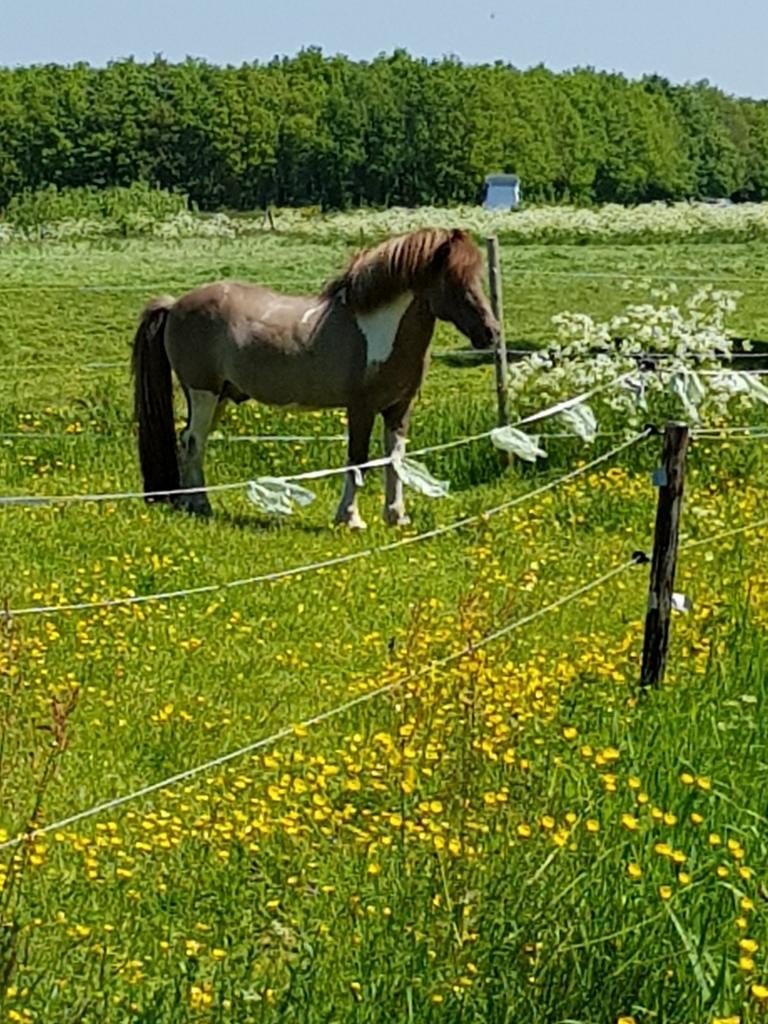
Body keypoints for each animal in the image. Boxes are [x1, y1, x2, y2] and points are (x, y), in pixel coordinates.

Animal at [131, 227, 500, 528]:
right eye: (454, 281)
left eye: (477, 277)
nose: (491, 333)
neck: (377, 328)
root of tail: (175, 304)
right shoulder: (361, 408)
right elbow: (357, 460)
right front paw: (350, 518)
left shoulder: (399, 408)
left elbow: (394, 460)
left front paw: (396, 517)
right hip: (203, 392)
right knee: (194, 441)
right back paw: (201, 505)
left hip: (219, 395)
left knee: (191, 441)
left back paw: (188, 503)